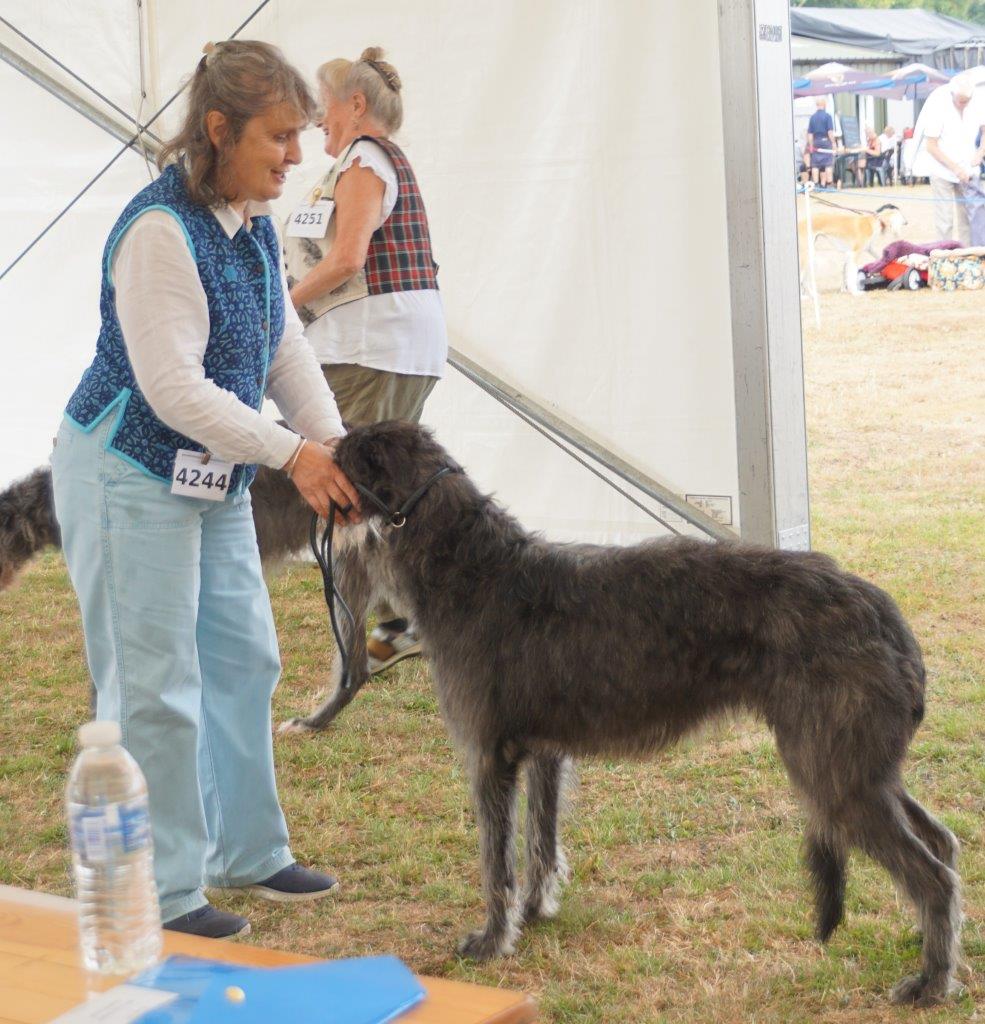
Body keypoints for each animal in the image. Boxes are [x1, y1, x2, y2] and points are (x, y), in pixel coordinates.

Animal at [278, 419, 966, 1003]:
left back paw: (930, 982)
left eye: (341, 452)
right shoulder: (544, 750)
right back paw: (935, 946)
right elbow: (541, 839)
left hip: (831, 768)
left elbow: (496, 858)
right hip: (859, 764)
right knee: (944, 843)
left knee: (932, 872)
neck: (471, 567)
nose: (297, 472)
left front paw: (492, 939)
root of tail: (882, 609)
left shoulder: (489, 754)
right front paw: (536, 912)